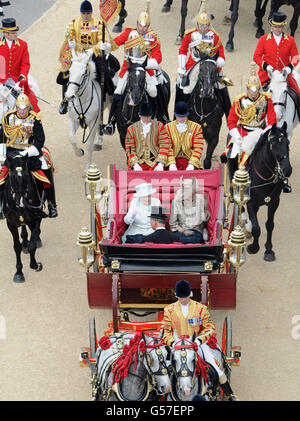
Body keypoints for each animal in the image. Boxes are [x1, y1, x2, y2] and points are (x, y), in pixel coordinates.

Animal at [2, 151, 44, 282]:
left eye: (26, 175)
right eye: (12, 176)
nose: (20, 203)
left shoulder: (35, 219)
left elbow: (32, 245)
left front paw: (35, 265)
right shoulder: (11, 224)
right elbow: (17, 247)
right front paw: (19, 272)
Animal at [245, 121, 292, 260]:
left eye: (287, 142)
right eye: (273, 143)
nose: (287, 169)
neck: (264, 176)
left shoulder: (274, 202)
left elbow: (269, 225)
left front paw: (269, 250)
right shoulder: (250, 203)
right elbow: (256, 228)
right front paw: (254, 248)